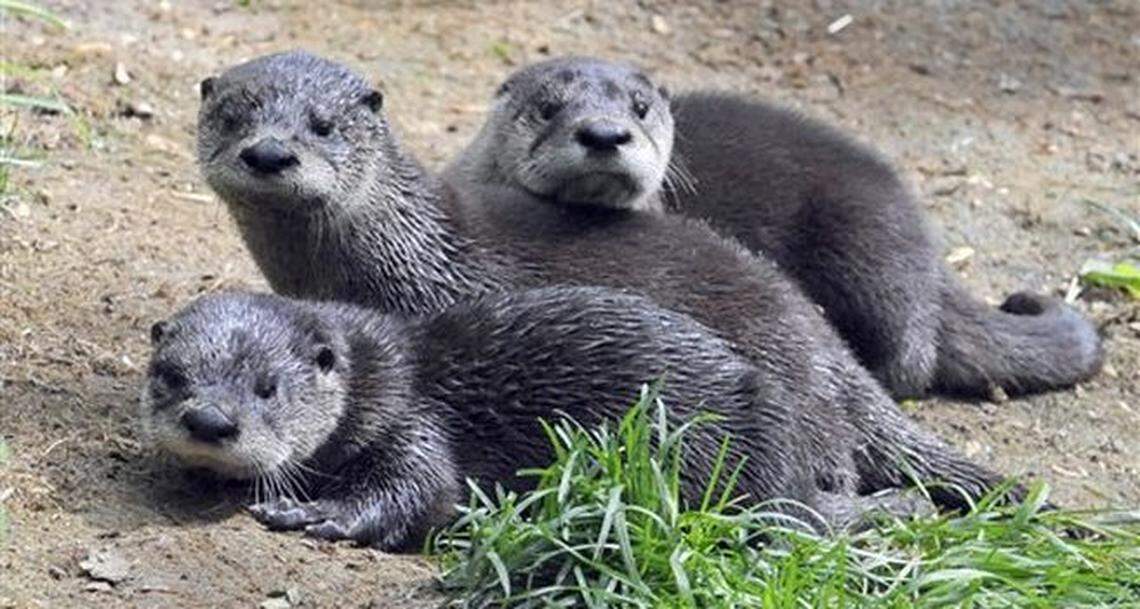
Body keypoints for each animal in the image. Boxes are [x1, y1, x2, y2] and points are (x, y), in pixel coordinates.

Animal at [143, 288, 1000, 548]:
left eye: (266, 388)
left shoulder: (413, 419)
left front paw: (317, 511)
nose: (210, 421)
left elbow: (421, 490)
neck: (379, 375)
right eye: (171, 375)